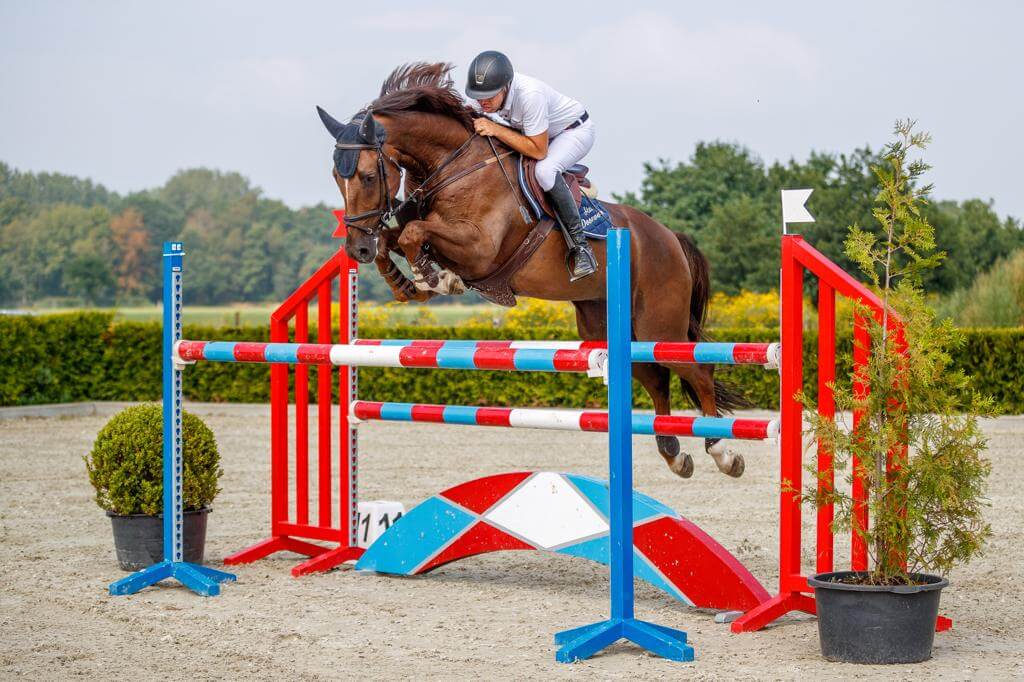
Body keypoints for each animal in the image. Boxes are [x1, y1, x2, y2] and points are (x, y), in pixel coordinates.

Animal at [317, 63, 747, 479]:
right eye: (337, 177)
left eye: (368, 177)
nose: (356, 248)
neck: (454, 166)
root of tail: (670, 237)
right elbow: (397, 237)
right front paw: (407, 283)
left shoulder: (479, 249)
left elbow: (413, 233)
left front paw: (434, 278)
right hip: (606, 325)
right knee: (655, 377)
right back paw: (674, 454)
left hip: (659, 325)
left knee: (698, 371)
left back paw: (724, 453)